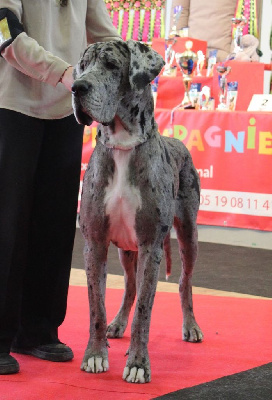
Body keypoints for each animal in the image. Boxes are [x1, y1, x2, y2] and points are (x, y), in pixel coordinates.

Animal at [71, 39, 203, 382]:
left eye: (111, 65)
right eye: (82, 65)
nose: (76, 87)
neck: (122, 144)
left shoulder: (150, 246)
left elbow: (145, 308)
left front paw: (138, 363)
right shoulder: (95, 243)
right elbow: (96, 305)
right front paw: (95, 355)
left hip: (188, 233)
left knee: (184, 282)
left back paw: (191, 326)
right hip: (124, 249)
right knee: (129, 286)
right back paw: (118, 324)